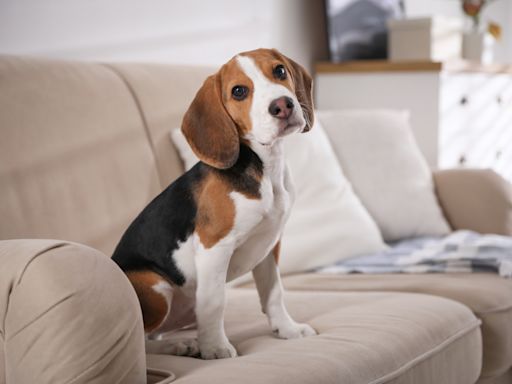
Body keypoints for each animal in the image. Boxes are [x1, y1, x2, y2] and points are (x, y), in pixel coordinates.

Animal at [113, 48, 316, 360]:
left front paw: (287, 329)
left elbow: (274, 293)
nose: (282, 105)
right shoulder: (214, 247)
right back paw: (182, 345)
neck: (266, 169)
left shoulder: (269, 245)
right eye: (239, 91)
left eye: (280, 71)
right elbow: (214, 303)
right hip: (155, 289)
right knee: (143, 342)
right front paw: (216, 348)